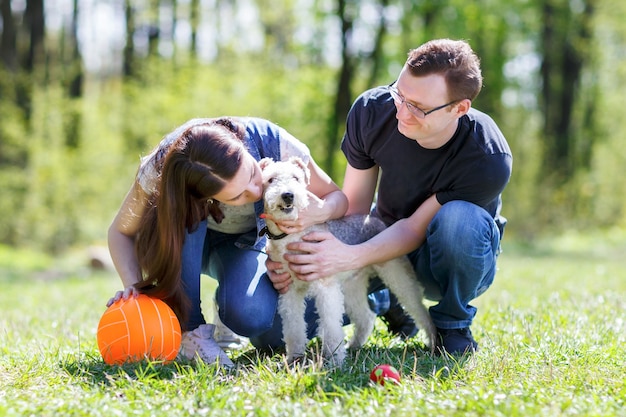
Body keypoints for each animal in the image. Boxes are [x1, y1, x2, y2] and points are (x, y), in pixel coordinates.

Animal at [258, 155, 434, 364]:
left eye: (296, 177)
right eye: (270, 179)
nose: (288, 195)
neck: (289, 237)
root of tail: (373, 219)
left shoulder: (325, 288)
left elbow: (331, 327)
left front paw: (334, 361)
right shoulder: (290, 291)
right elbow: (294, 328)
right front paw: (295, 358)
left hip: (398, 276)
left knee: (421, 310)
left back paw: (433, 342)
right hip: (352, 287)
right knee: (366, 317)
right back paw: (354, 346)